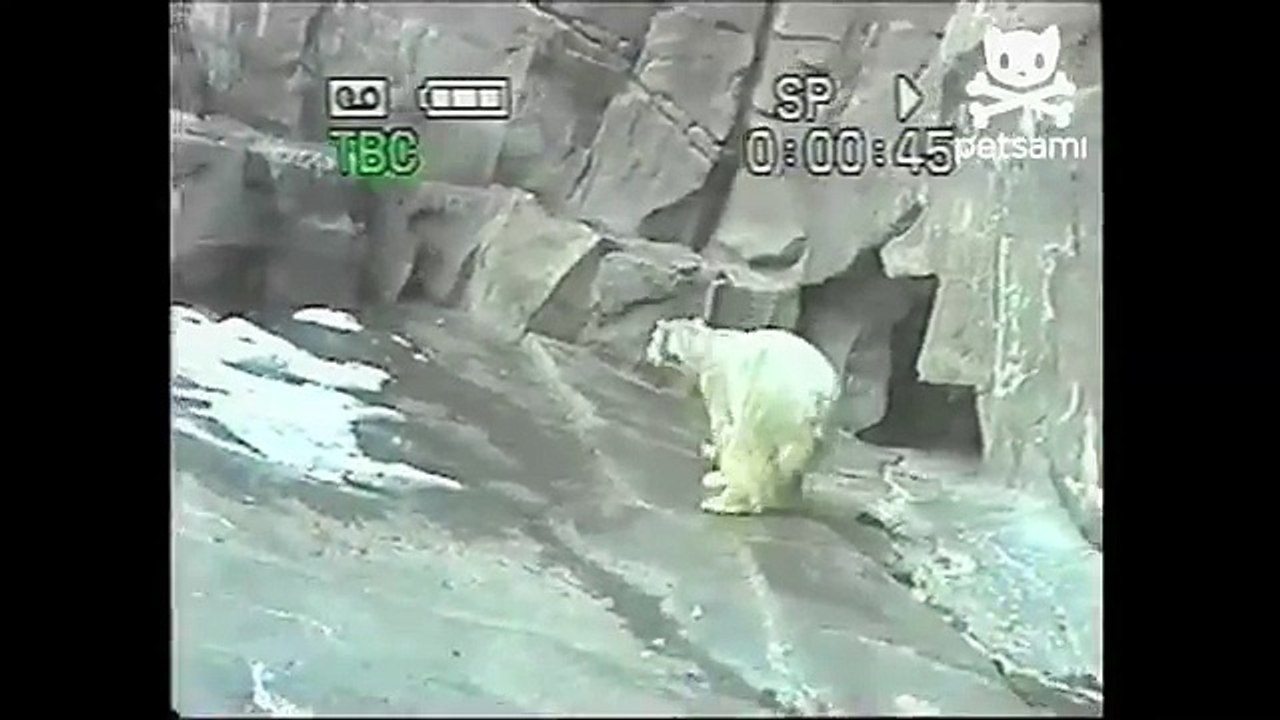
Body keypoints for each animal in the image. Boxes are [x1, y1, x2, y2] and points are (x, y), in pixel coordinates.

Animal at [644, 316, 841, 515]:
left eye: (653, 338)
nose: (648, 353)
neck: (707, 346)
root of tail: (821, 393)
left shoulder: (718, 382)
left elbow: (723, 424)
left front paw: (717, 475)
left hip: (773, 400)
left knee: (749, 443)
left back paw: (726, 502)